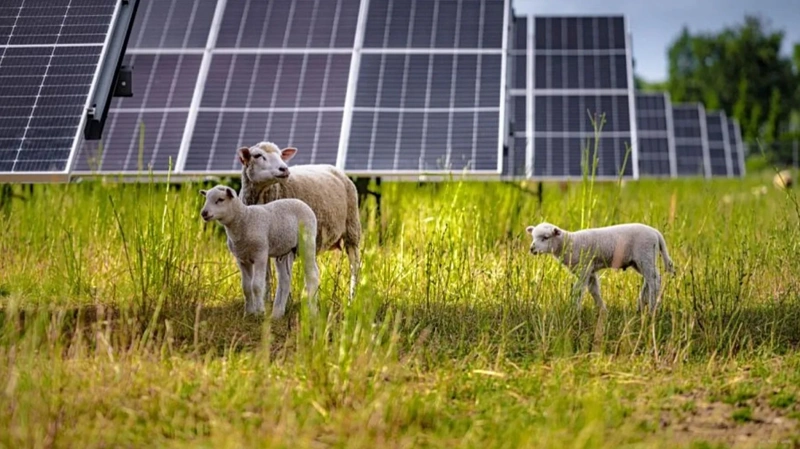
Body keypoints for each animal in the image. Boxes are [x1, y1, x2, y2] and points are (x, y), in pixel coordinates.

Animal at [200, 184, 319, 319]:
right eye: (206, 198)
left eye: (220, 199)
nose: (204, 213)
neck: (244, 219)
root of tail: (302, 203)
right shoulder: (242, 259)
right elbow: (246, 287)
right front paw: (248, 313)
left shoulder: (260, 254)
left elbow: (256, 285)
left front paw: (259, 312)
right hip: (284, 250)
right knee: (285, 279)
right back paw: (277, 314)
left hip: (307, 241)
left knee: (313, 275)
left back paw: (312, 312)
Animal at [237, 141, 362, 300]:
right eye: (257, 155)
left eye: (281, 155)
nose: (284, 169)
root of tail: (334, 169)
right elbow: (266, 276)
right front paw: (266, 300)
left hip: (352, 229)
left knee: (354, 265)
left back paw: (352, 298)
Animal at [525, 222, 675, 313]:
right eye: (532, 237)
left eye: (545, 237)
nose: (532, 249)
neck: (569, 243)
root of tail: (656, 233)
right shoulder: (590, 270)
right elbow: (594, 290)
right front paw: (603, 310)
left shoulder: (584, 268)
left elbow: (578, 290)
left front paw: (574, 310)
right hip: (639, 261)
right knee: (648, 280)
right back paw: (641, 306)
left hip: (645, 254)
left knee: (654, 280)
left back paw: (652, 308)